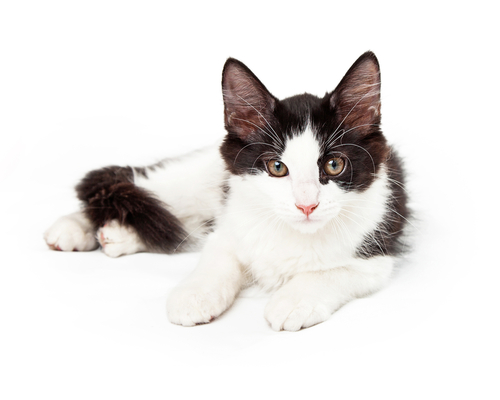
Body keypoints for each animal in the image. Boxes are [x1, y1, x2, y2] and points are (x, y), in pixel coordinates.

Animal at [45, 50, 408, 332]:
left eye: (334, 165)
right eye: (277, 167)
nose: (307, 206)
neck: (293, 233)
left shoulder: (377, 251)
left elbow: (333, 273)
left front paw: (292, 300)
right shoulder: (231, 224)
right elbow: (216, 258)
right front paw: (194, 295)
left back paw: (119, 235)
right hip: (198, 177)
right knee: (145, 188)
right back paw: (72, 228)